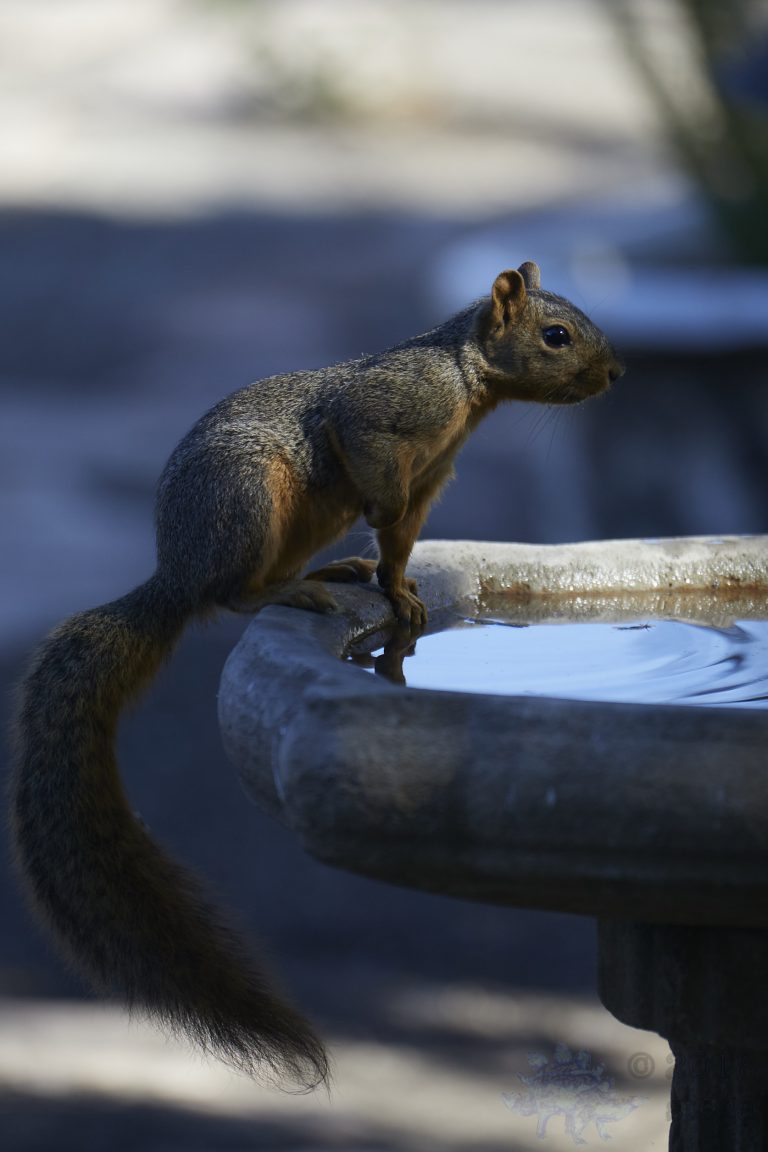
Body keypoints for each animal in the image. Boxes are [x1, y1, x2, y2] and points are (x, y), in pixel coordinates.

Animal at [10, 261, 623, 1090]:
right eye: (556, 335)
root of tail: (174, 574)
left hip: (297, 519)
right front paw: (381, 525)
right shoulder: (385, 412)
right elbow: (370, 462)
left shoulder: (432, 478)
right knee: (227, 593)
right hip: (249, 498)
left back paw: (332, 571)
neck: (469, 388)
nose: (614, 373)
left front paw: (399, 592)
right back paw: (288, 590)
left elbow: (401, 542)